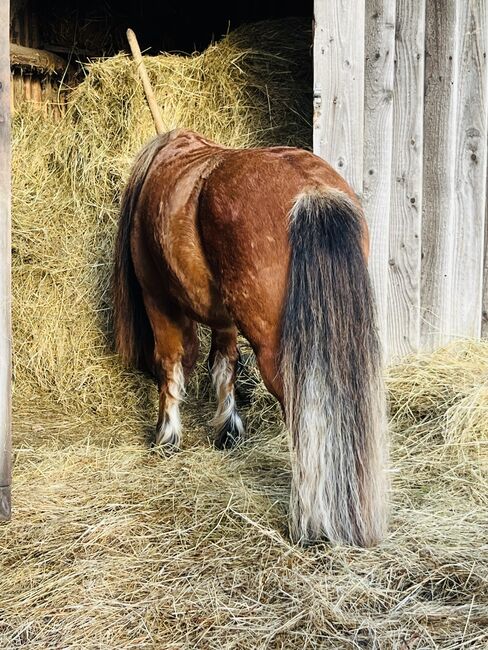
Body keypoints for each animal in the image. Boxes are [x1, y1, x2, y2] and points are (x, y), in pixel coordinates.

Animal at [111, 129, 388, 544]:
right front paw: (228, 430)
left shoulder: (158, 299)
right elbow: (224, 364)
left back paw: (312, 520)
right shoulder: (224, 317)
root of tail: (312, 189)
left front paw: (167, 435)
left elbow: (171, 363)